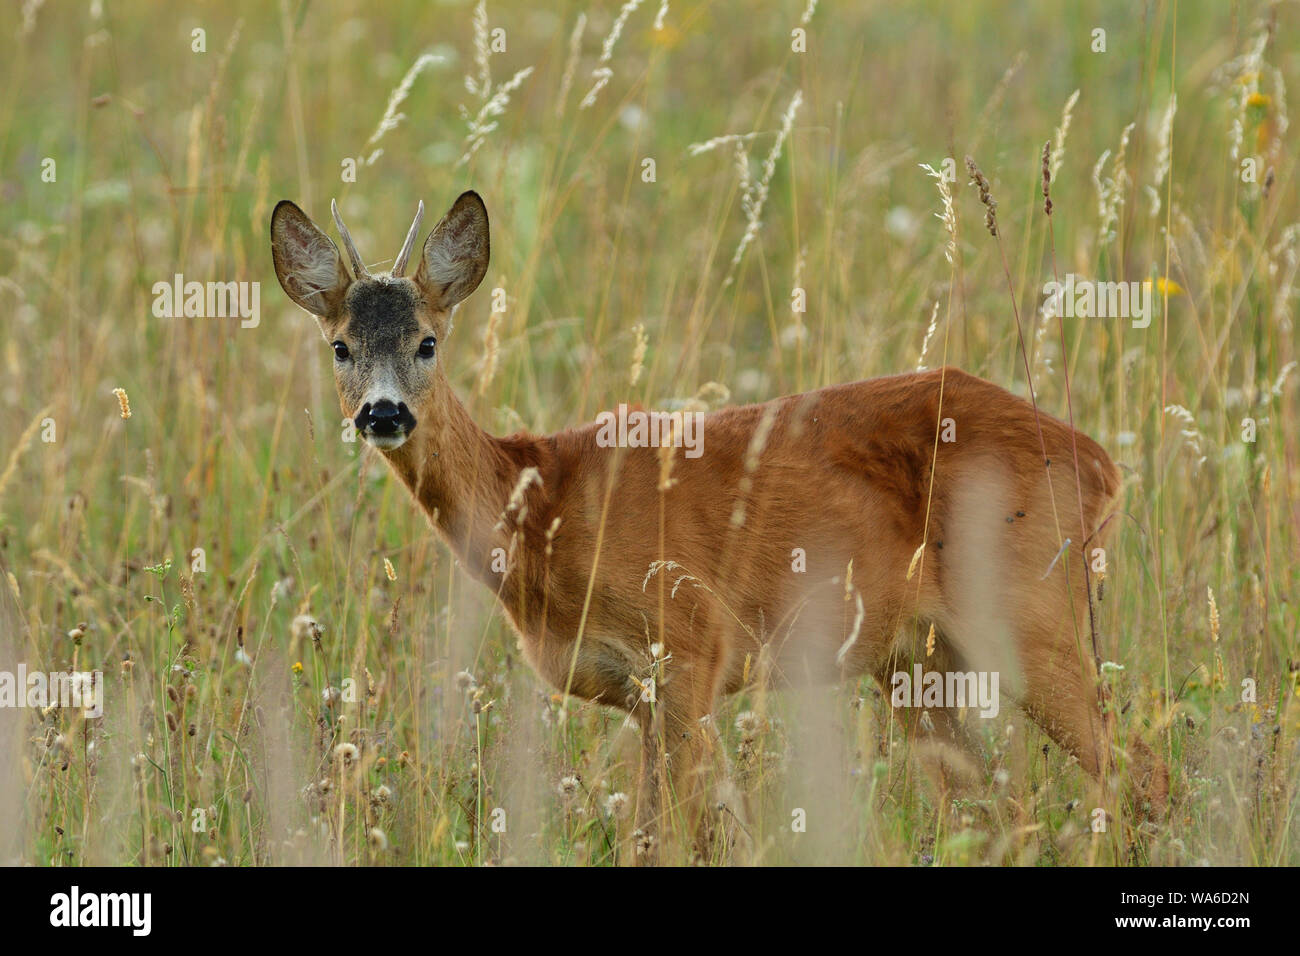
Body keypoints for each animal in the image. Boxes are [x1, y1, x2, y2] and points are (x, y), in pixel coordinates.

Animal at [271, 191, 1170, 863]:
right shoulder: (645, 694)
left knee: (1138, 771)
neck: (545, 518)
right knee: (993, 813)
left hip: (1025, 606)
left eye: (428, 342)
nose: (383, 413)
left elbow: (665, 843)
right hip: (915, 658)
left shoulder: (690, 644)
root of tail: (1103, 464)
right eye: (340, 346)